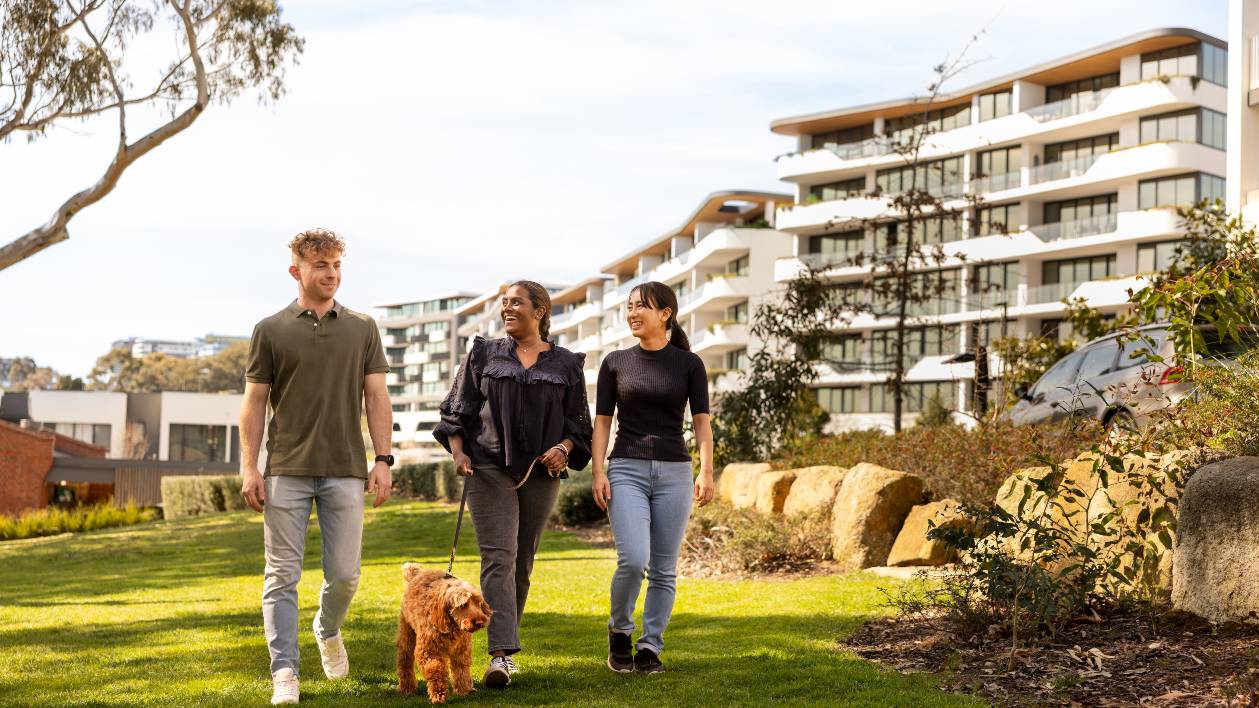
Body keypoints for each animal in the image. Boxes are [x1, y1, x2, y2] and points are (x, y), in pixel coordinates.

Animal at [397, 561, 491, 700]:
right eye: (463, 605)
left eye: (478, 603)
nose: (480, 622)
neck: (452, 625)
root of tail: (415, 576)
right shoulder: (429, 652)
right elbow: (436, 671)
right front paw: (438, 694)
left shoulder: (461, 651)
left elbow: (461, 671)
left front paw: (465, 690)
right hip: (407, 636)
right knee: (404, 662)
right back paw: (407, 688)